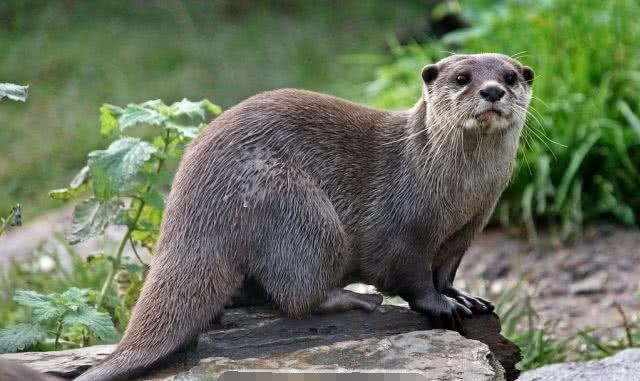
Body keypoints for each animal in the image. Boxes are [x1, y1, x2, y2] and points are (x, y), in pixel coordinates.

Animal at [76, 53, 536, 380]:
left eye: (511, 77)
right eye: (461, 78)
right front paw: (440, 306)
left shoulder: (467, 229)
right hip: (297, 209)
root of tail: (191, 206)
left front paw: (463, 297)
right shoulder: (404, 230)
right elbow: (413, 277)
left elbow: (446, 271)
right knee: (296, 294)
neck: (456, 189)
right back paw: (353, 299)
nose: (492, 91)